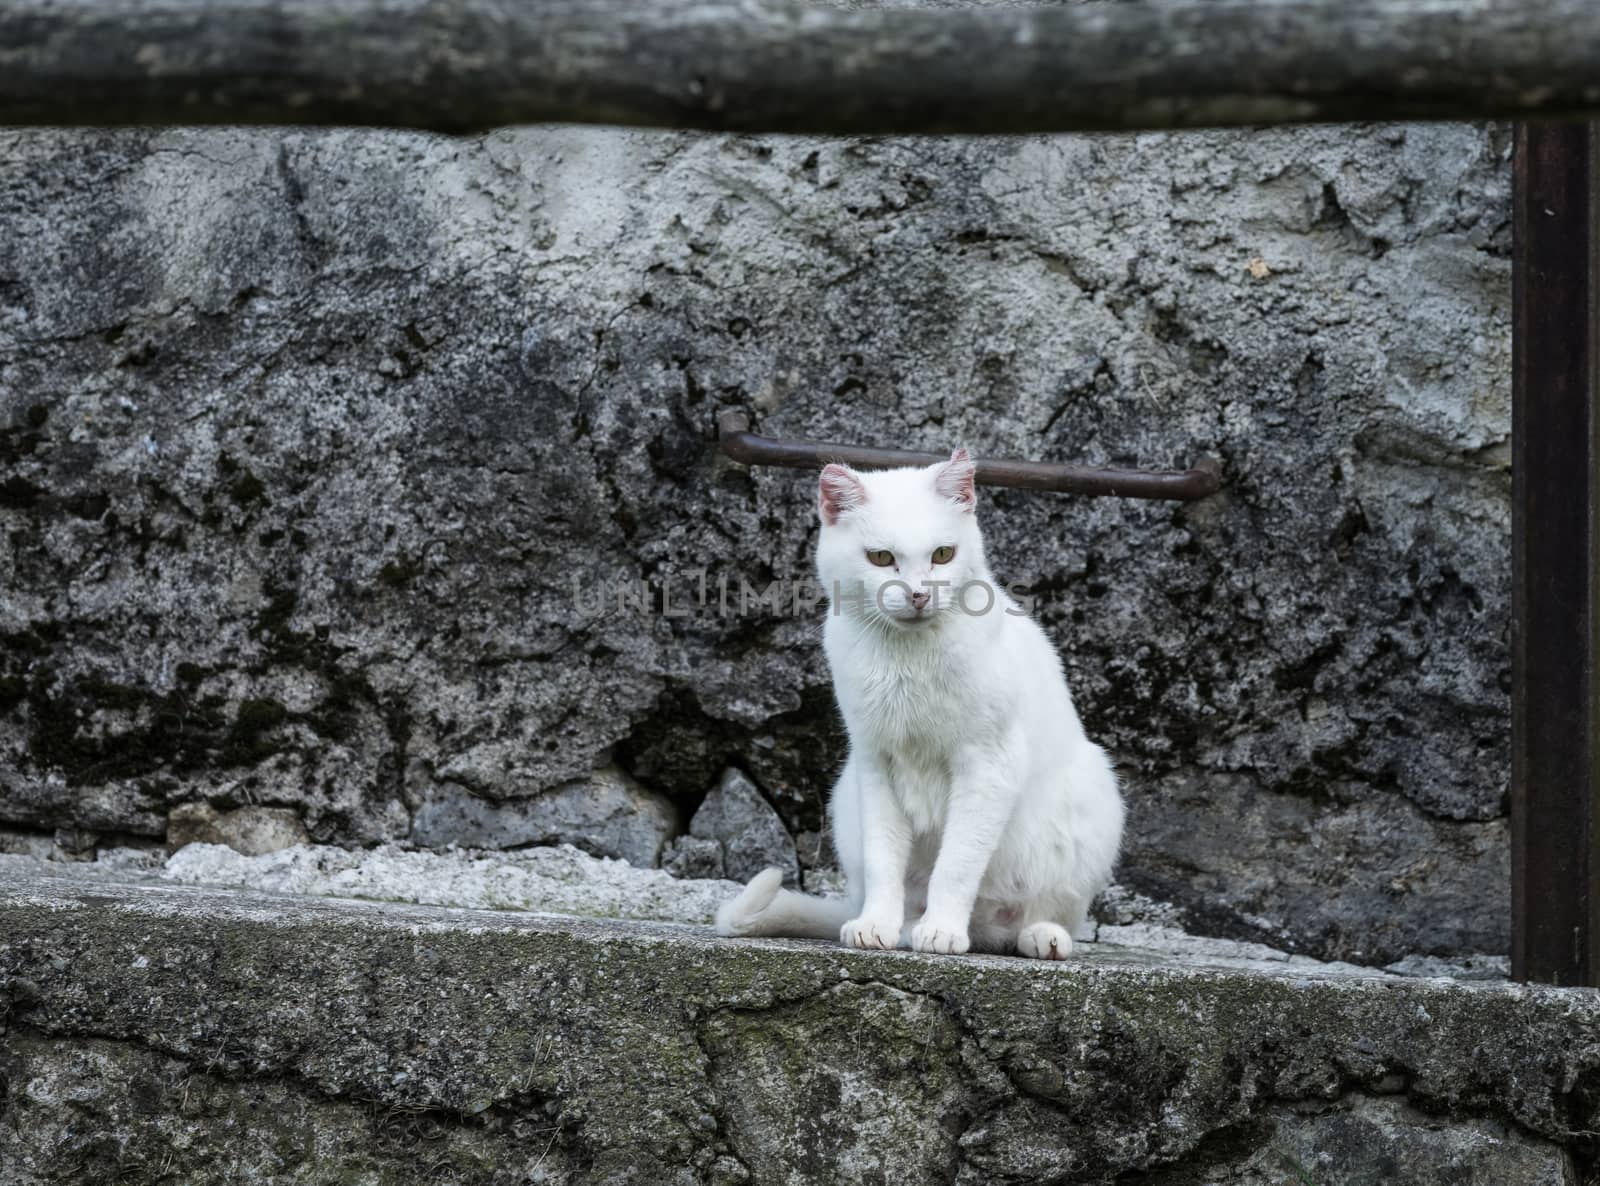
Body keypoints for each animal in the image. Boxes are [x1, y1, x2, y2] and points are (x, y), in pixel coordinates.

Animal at [720, 448, 1120, 960]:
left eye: (943, 554)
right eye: (881, 558)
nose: (918, 594)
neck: (908, 661)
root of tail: (987, 931)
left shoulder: (988, 766)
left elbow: (958, 862)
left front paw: (943, 930)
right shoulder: (875, 763)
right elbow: (884, 859)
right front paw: (877, 925)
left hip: (1092, 796)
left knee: (1042, 912)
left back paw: (1039, 936)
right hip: (846, 797)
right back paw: (907, 926)